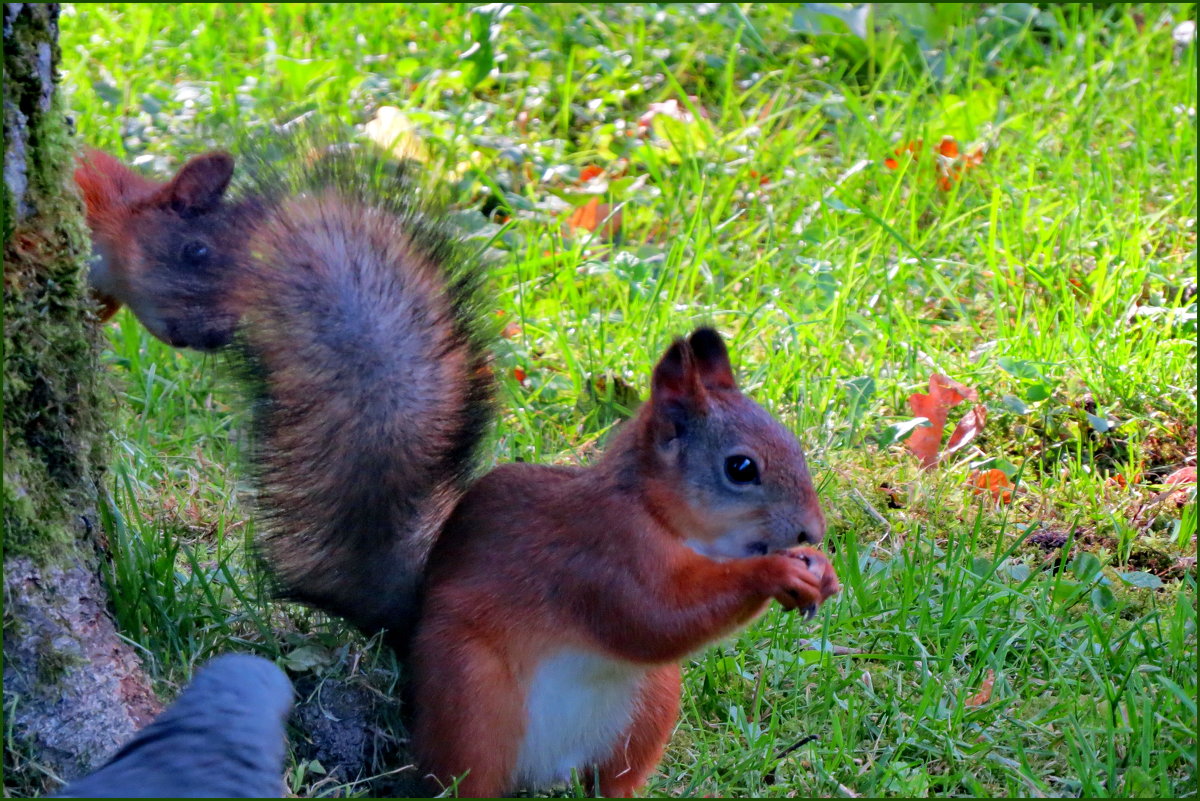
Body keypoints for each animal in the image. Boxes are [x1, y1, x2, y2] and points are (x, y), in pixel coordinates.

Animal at [79, 142, 840, 796]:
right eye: (740, 467)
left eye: (793, 446)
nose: (813, 530)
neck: (659, 515)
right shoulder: (593, 554)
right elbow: (650, 619)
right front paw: (776, 574)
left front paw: (817, 574)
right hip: (472, 694)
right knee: (464, 776)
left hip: (649, 706)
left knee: (614, 776)